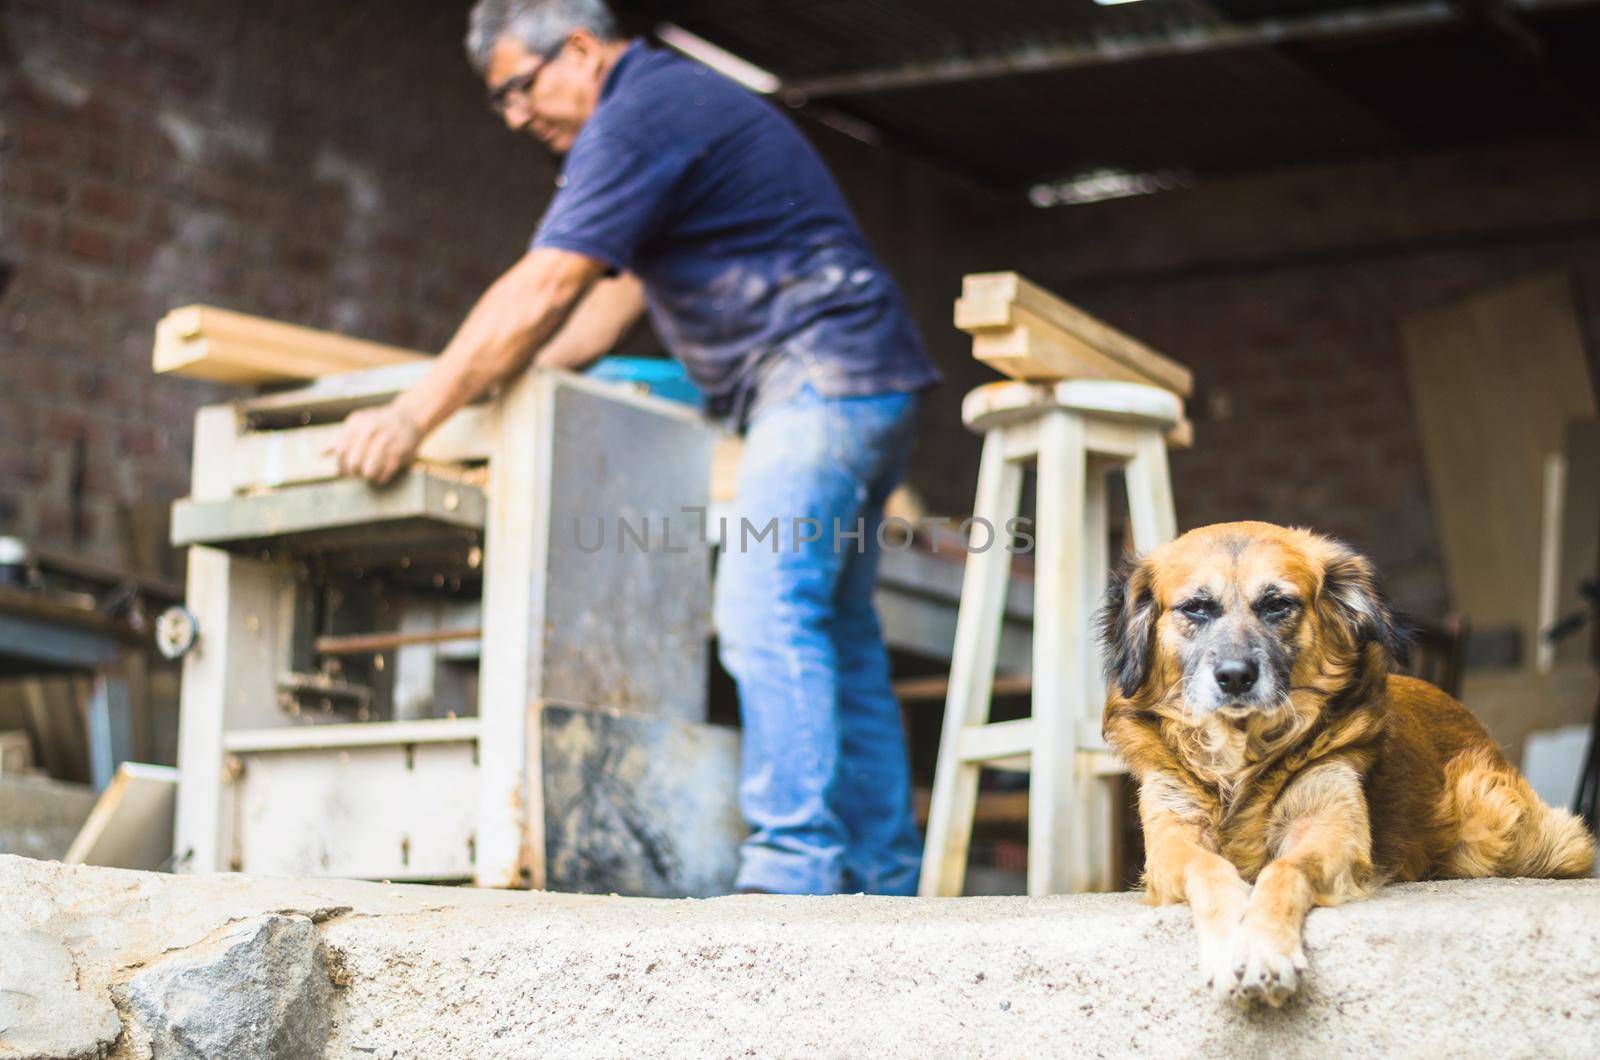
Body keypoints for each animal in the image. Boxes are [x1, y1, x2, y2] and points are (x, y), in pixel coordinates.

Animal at [1094, 528, 1593, 1011]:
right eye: (1196, 608)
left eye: (1277, 604)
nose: (1235, 676)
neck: (1241, 751)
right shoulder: (1171, 839)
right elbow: (1208, 867)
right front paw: (1232, 937)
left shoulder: (1327, 828)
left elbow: (1284, 870)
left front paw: (1262, 950)